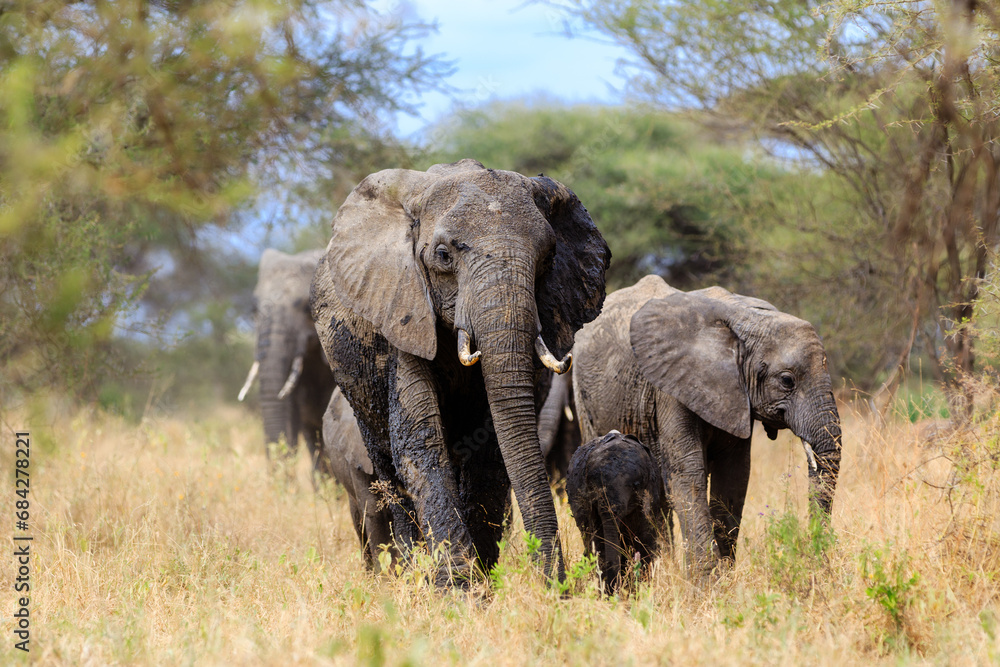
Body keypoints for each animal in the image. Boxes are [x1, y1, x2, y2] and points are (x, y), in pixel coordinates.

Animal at [566, 430, 665, 594]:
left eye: (635, 485)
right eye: (593, 488)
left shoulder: (650, 492)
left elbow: (645, 540)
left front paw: (637, 593)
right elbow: (599, 544)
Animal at [572, 275, 842, 577]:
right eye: (786, 380)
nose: (817, 563)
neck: (746, 317)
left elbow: (734, 476)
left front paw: (724, 578)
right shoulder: (671, 385)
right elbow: (688, 474)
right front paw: (707, 582)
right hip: (584, 397)